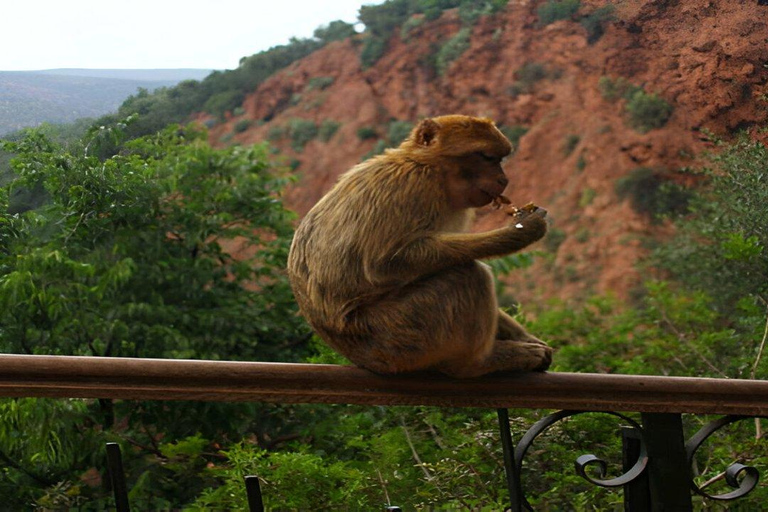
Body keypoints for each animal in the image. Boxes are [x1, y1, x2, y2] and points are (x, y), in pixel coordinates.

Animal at [288, 115, 552, 376]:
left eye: (499, 159)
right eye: (487, 157)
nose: (504, 180)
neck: (431, 168)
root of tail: (359, 357)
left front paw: (525, 336)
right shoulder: (411, 185)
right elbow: (381, 265)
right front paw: (519, 232)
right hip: (397, 335)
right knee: (468, 277)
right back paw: (479, 363)